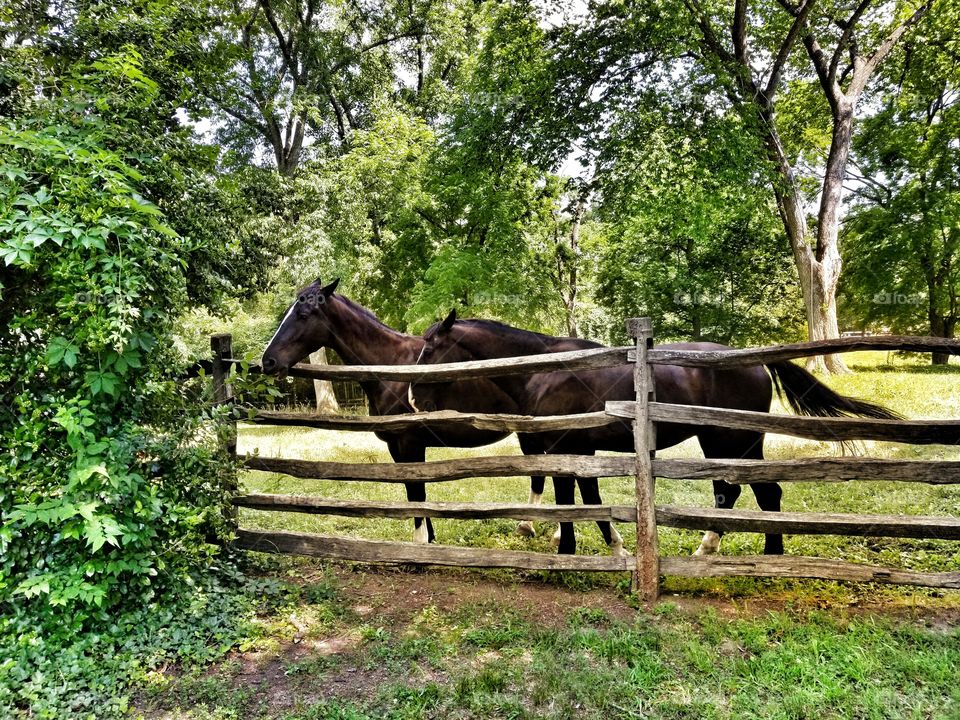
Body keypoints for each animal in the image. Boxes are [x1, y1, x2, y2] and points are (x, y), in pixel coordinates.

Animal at [258, 278, 607, 546]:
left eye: (303, 313)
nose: (268, 361)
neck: (391, 367)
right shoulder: (396, 448)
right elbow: (417, 494)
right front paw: (430, 537)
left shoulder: (410, 444)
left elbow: (416, 492)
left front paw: (421, 544)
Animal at [409, 310, 899, 556]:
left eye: (430, 347)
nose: (413, 398)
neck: (546, 372)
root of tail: (754, 362)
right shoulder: (582, 451)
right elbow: (591, 500)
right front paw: (614, 545)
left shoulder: (565, 449)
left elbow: (569, 502)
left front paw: (566, 550)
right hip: (723, 444)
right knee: (734, 493)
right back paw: (708, 548)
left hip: (734, 442)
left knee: (764, 494)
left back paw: (768, 553)